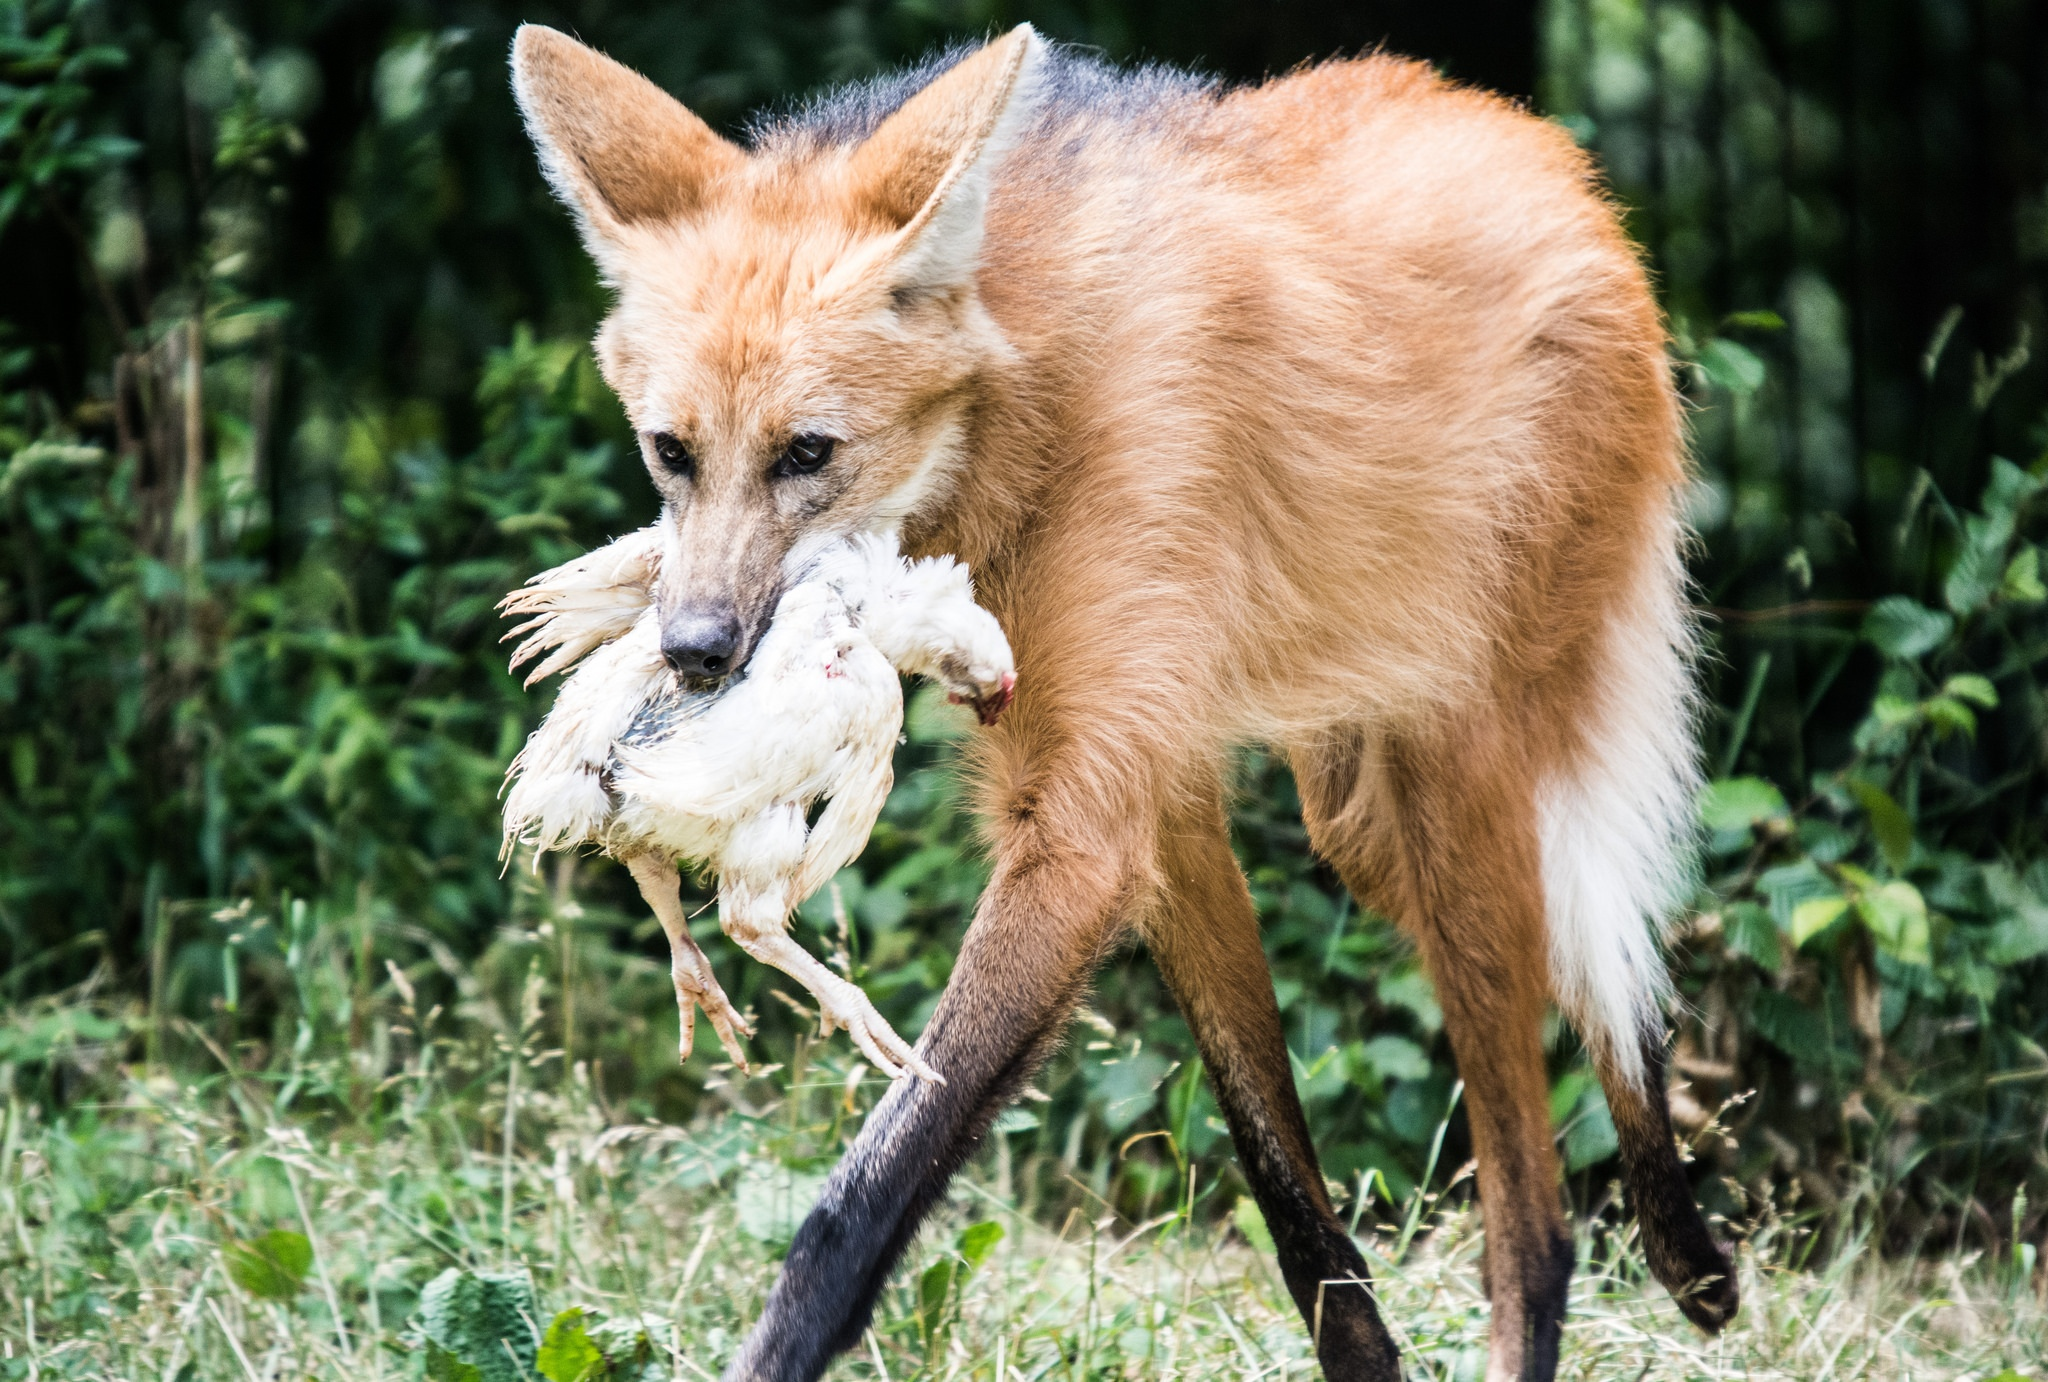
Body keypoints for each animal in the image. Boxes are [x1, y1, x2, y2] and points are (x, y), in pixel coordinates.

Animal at [507, 21, 1728, 1382]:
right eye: (671, 452)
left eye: (807, 453)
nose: (695, 654)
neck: (1022, 409)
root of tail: (1558, 166)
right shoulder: (1156, 804)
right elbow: (1284, 1187)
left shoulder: (1085, 834)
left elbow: (858, 1195)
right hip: (1357, 810)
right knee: (1587, 945)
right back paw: (1694, 1250)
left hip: (1455, 774)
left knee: (1536, 1209)